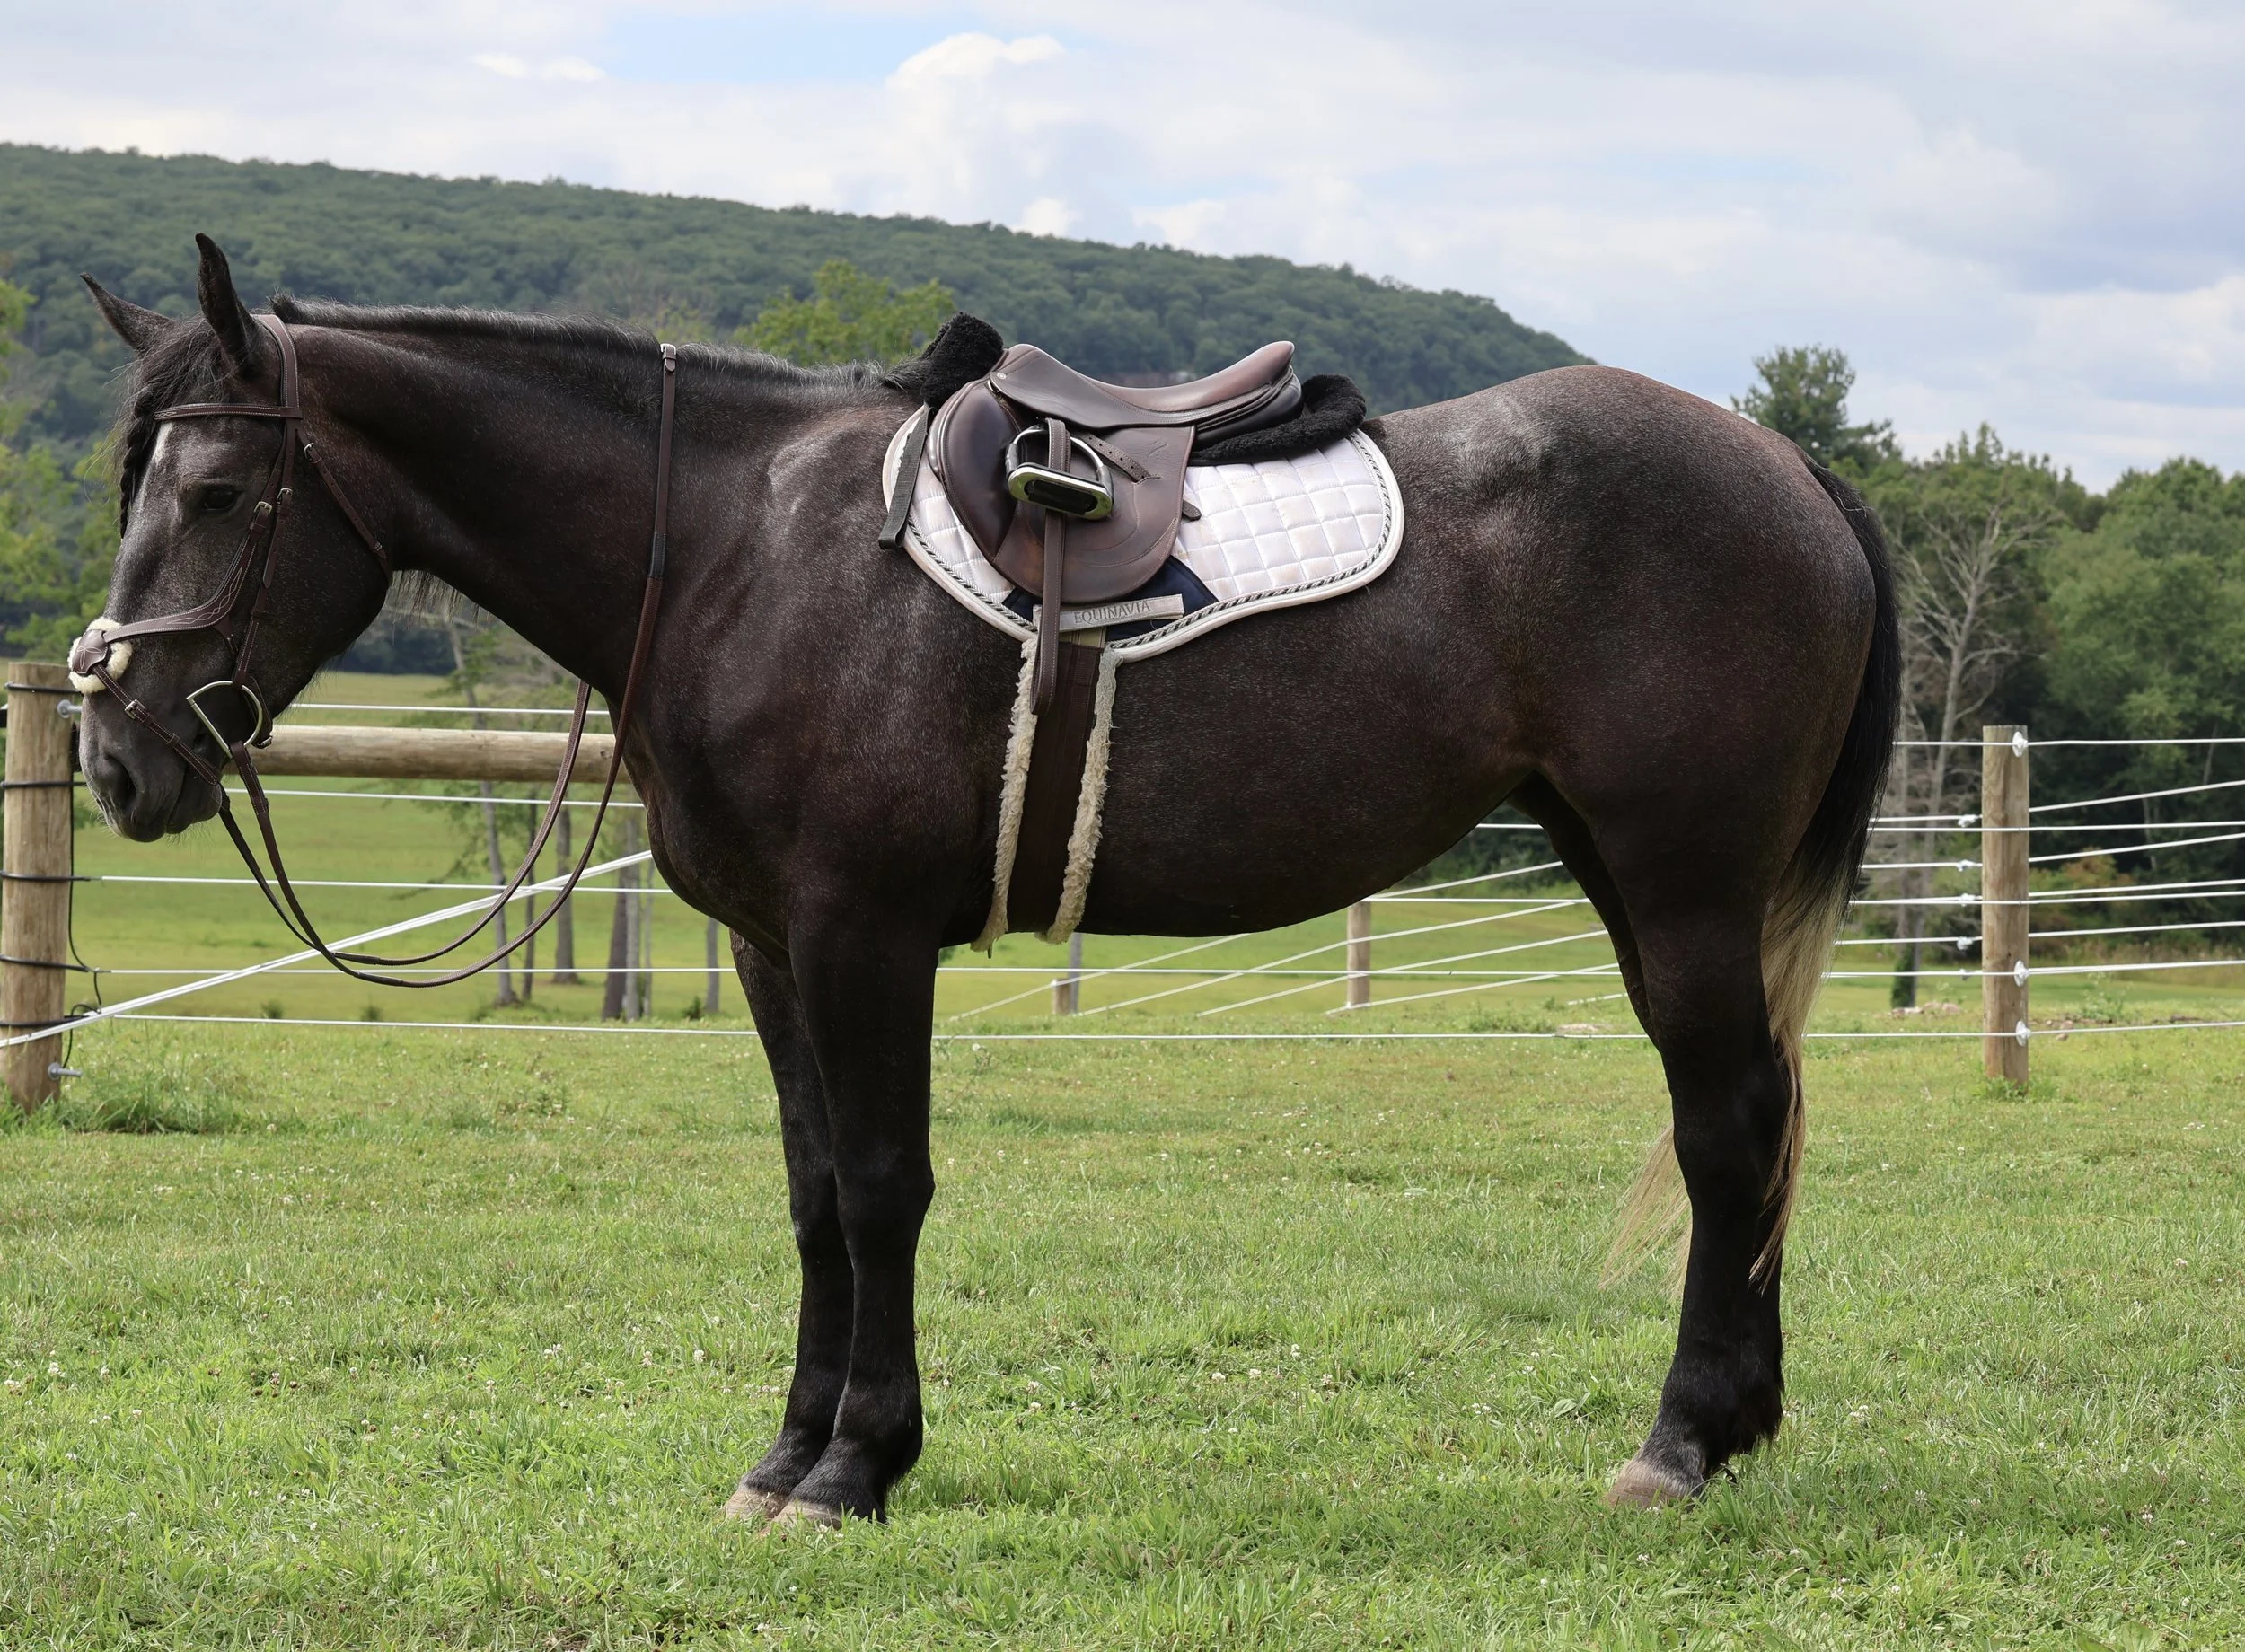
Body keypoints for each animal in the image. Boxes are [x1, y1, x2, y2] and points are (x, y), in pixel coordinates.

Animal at [72, 236, 1897, 1525]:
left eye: (218, 492)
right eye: (135, 482)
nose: (116, 756)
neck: (736, 545)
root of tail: (1783, 465)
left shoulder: (864, 936)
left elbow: (886, 1189)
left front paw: (857, 1467)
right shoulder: (773, 950)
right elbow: (816, 1197)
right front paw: (785, 1456)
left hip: (1681, 889)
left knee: (1728, 1129)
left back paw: (1683, 1441)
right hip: (1635, 881)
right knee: (1758, 1124)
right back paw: (1736, 1424)